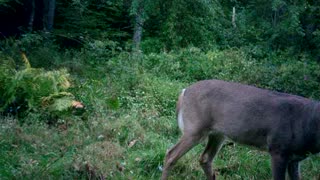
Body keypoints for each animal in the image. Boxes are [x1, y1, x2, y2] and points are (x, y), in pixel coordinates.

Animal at [162, 79, 320, 180]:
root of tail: (184, 91)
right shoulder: (278, 149)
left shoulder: (295, 158)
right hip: (195, 128)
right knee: (171, 154)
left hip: (218, 134)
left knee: (205, 158)